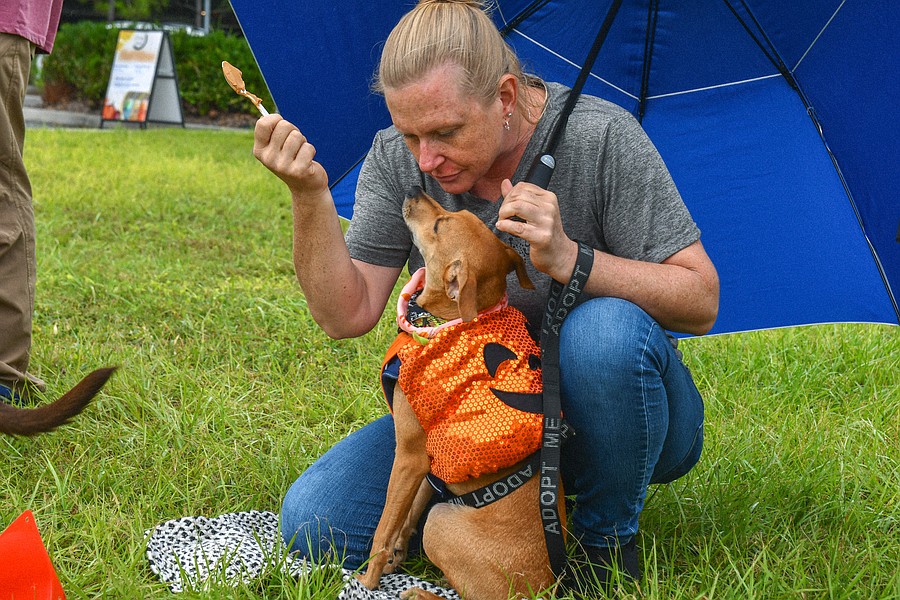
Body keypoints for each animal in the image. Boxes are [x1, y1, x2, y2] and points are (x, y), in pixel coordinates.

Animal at [357, 188, 563, 599]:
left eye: (439, 225)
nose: (414, 190)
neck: (440, 322)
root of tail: (541, 591)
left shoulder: (408, 454)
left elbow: (383, 529)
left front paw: (367, 581)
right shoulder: (427, 459)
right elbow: (408, 512)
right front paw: (396, 555)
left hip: (439, 523)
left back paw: (419, 593)